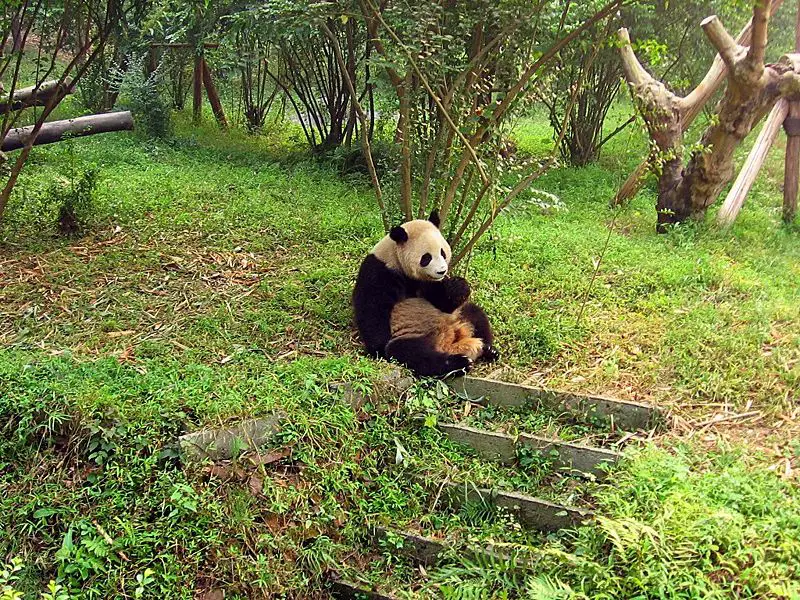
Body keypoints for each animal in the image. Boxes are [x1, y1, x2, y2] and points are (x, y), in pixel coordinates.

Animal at [352, 210, 498, 377]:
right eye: (426, 257)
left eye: (442, 252)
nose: (442, 271)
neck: (396, 259)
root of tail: (447, 341)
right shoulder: (379, 271)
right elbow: (372, 310)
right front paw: (378, 349)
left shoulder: (430, 282)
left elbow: (443, 303)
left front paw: (459, 286)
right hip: (412, 334)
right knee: (410, 352)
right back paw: (458, 363)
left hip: (457, 317)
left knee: (474, 314)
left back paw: (488, 349)